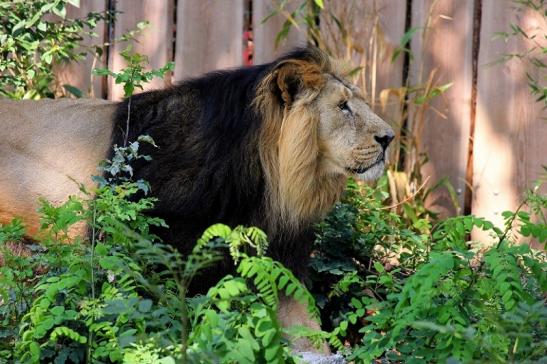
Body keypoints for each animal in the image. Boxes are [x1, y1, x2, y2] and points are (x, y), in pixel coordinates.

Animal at [0, 47, 394, 354]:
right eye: (343, 107)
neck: (264, 180)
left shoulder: (281, 260)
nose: (389, 137)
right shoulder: (146, 255)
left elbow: (312, 338)